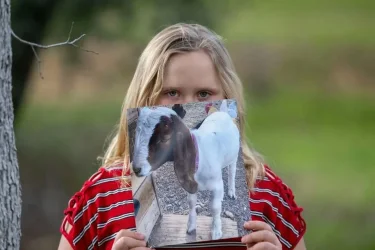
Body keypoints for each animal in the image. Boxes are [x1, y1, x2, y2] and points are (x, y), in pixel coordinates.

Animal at [132, 99, 241, 240]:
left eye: (164, 138)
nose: (136, 169)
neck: (199, 154)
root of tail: (223, 112)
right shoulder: (189, 183)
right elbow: (191, 203)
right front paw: (191, 227)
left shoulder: (216, 185)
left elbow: (215, 207)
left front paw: (216, 232)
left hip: (234, 156)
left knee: (232, 171)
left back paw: (231, 191)